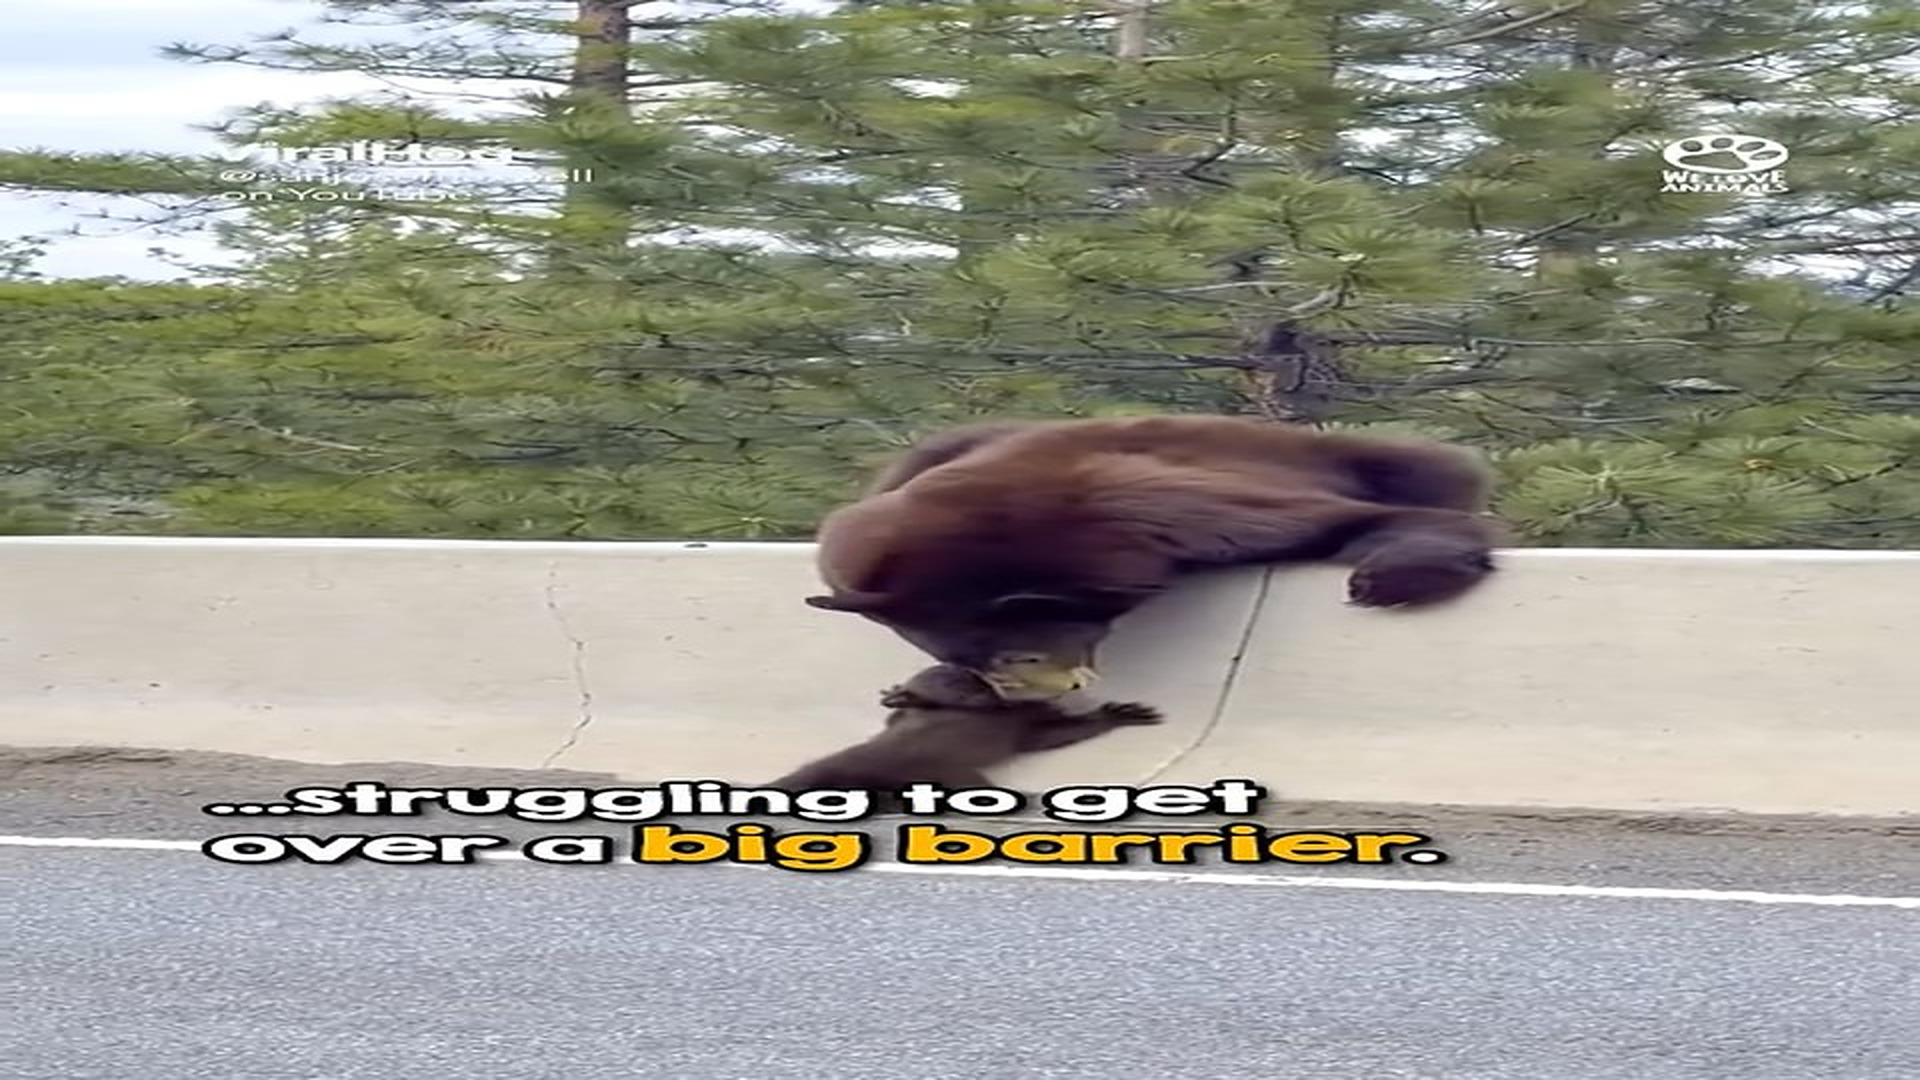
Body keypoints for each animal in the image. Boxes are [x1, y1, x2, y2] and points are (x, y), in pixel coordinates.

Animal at [803, 413, 1505, 696]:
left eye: (1016, 650)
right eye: (966, 655)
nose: (1033, 692)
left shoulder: (1147, 511)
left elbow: (1344, 523)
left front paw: (1389, 578)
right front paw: (934, 684)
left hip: (1379, 456)